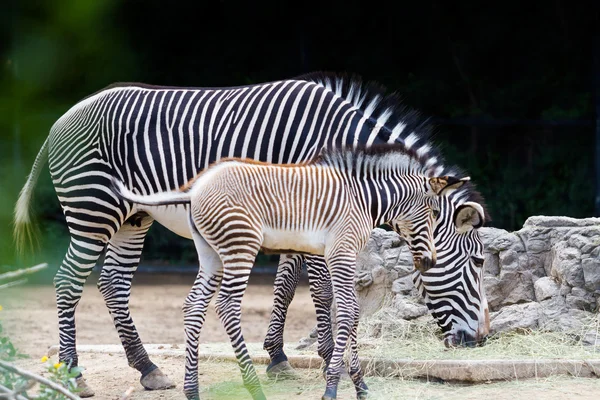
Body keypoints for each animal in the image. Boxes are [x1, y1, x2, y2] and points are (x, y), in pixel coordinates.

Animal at [112, 144, 468, 400]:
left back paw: (193, 390)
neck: (363, 198)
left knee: (193, 305)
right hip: (241, 247)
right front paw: (332, 387)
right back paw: (253, 387)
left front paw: (360, 385)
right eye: (433, 212)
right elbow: (346, 311)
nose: (429, 262)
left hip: (211, 253)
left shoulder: (340, 255)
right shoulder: (340, 252)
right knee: (226, 306)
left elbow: (350, 311)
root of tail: (194, 189)